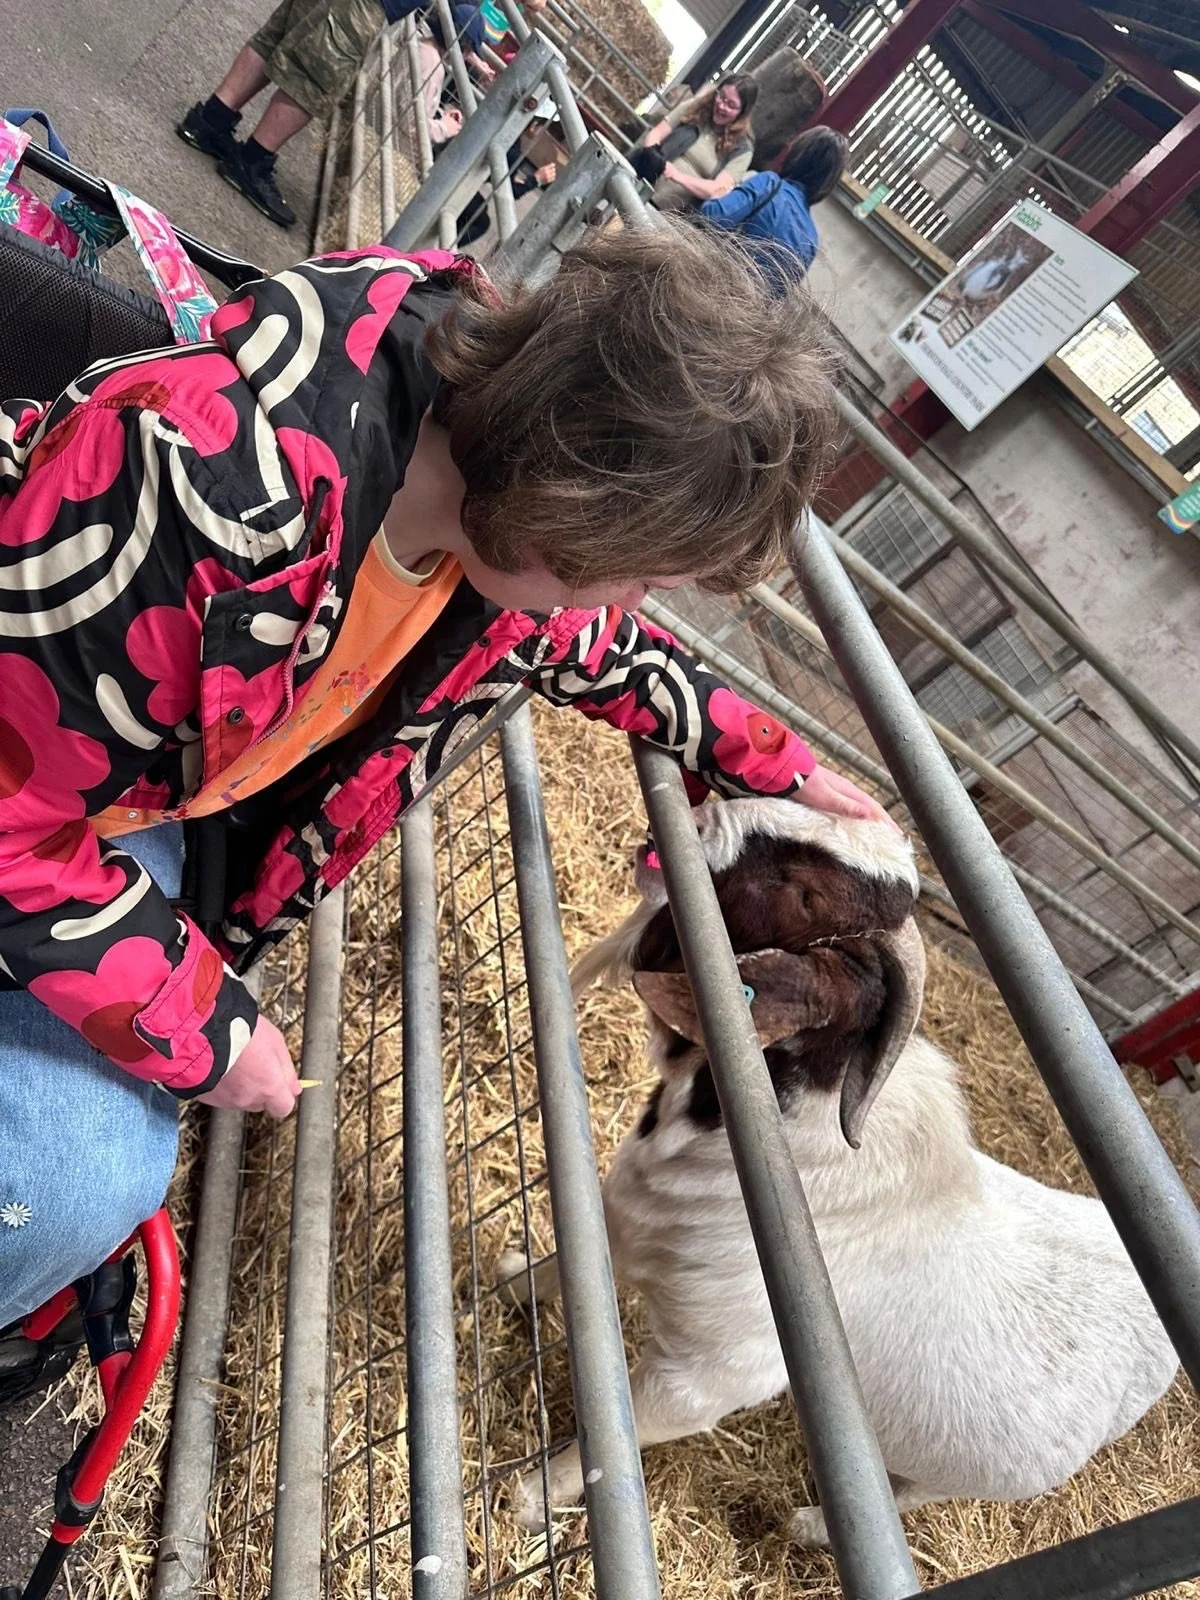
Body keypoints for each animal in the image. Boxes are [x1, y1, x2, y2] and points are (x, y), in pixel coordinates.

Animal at [497, 798, 1180, 1542]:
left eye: (807, 896)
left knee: (913, 1495)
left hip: (961, 1476)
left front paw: (528, 1500)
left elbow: (613, 1440)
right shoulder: (626, 1226)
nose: (692, 821)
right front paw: (504, 1284)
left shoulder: (704, 1378)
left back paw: (808, 1526)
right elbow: (565, 1271)